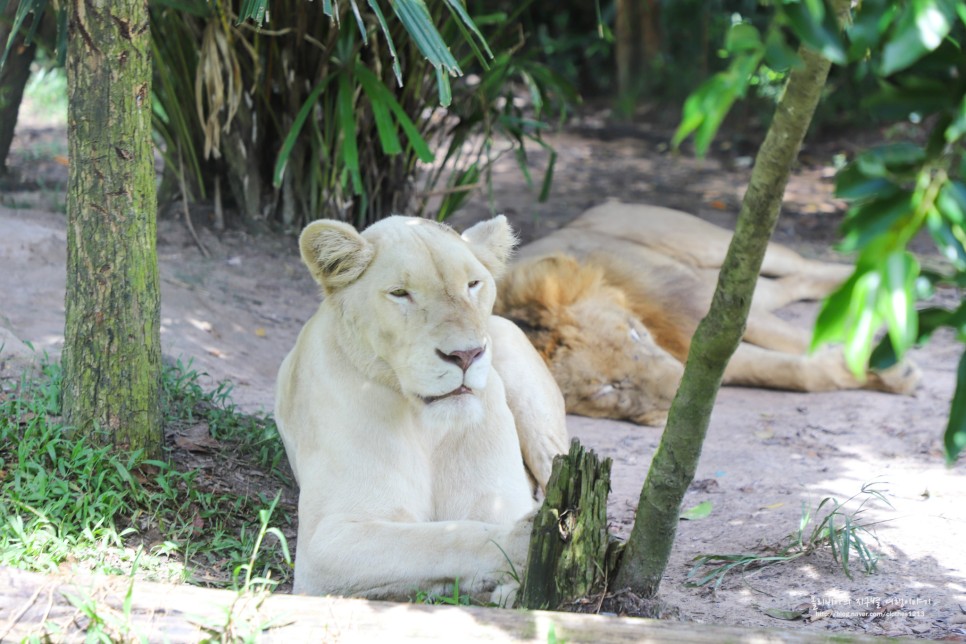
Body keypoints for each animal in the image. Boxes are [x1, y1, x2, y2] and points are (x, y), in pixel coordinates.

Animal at [276, 215, 572, 600]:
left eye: (473, 284)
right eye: (401, 293)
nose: (466, 354)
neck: (428, 425)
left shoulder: (498, 500)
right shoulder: (326, 541)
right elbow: (443, 538)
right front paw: (522, 545)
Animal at [500, 199, 924, 426]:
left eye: (635, 333)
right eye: (608, 389)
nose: (679, 398)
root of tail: (608, 202)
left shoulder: (709, 306)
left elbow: (797, 340)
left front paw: (891, 368)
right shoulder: (706, 344)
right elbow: (791, 369)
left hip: (718, 246)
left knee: (803, 265)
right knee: (794, 284)